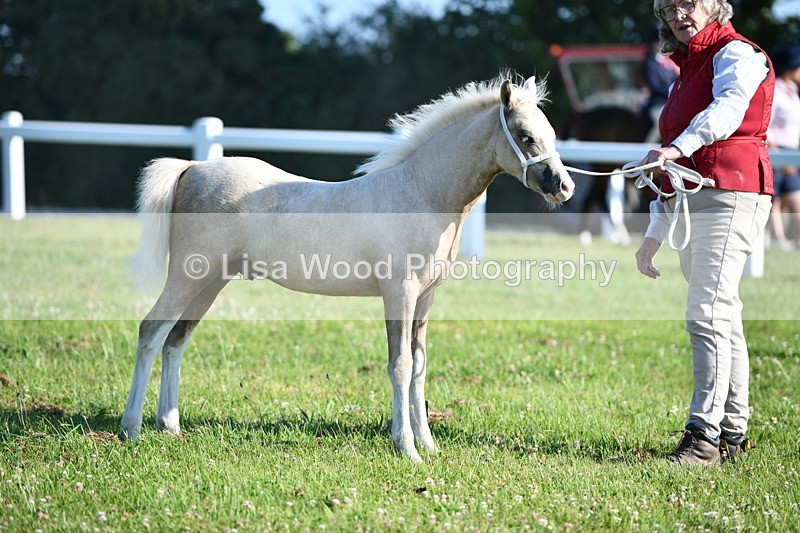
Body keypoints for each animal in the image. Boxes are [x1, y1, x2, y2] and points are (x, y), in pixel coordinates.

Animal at [118, 73, 575, 462]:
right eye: (525, 135)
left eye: (551, 134)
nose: (563, 186)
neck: (422, 194)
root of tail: (191, 167)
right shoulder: (399, 294)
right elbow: (400, 366)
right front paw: (406, 448)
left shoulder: (425, 299)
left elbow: (419, 366)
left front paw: (428, 444)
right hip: (187, 276)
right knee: (151, 330)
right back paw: (130, 428)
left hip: (210, 283)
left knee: (176, 340)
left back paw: (170, 426)